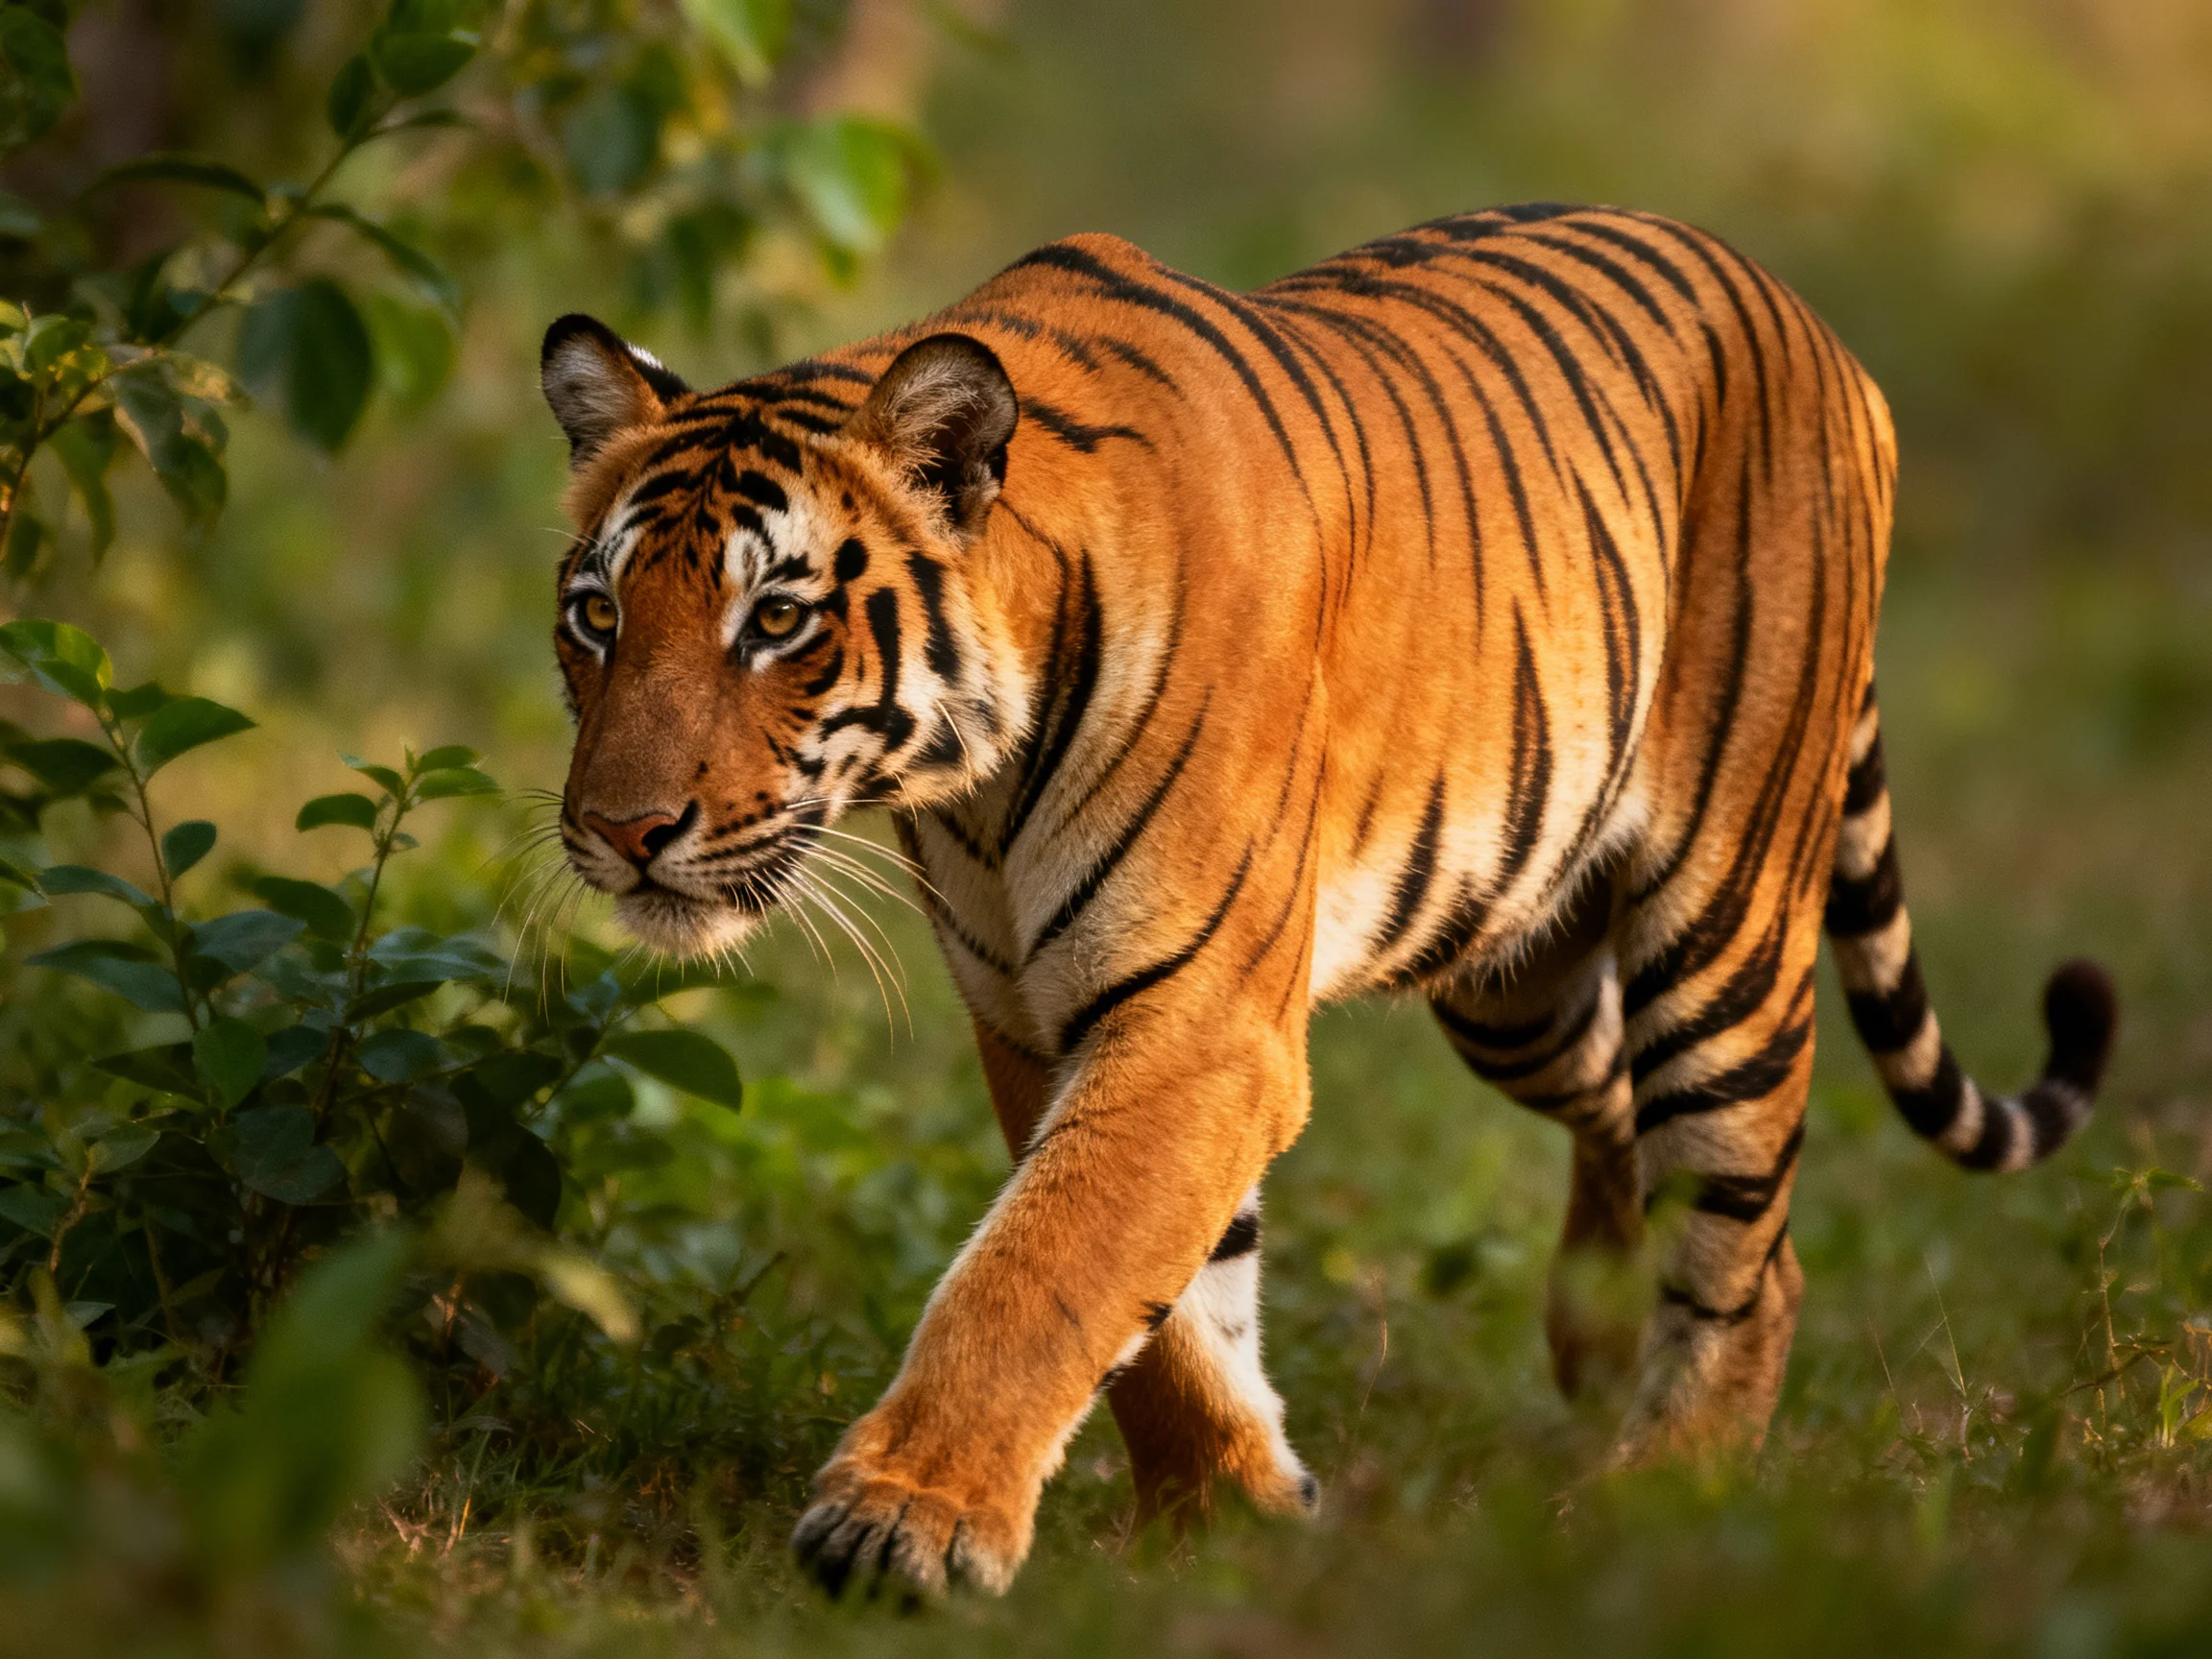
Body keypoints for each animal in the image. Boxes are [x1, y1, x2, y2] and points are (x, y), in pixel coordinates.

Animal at [539, 202, 2117, 1597]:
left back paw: (1661, 1495)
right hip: (1516, 972)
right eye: (598, 616)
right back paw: (1595, 1346)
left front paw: (904, 1522)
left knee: (1747, 1243)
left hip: (1726, 924)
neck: (969, 786)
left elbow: (1042, 1265)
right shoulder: (1042, 1020)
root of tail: (1807, 318)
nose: (620, 832)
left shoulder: (1200, 1023)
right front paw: (1235, 1512)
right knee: (1620, 1110)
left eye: (777, 621)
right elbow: (1166, 1308)